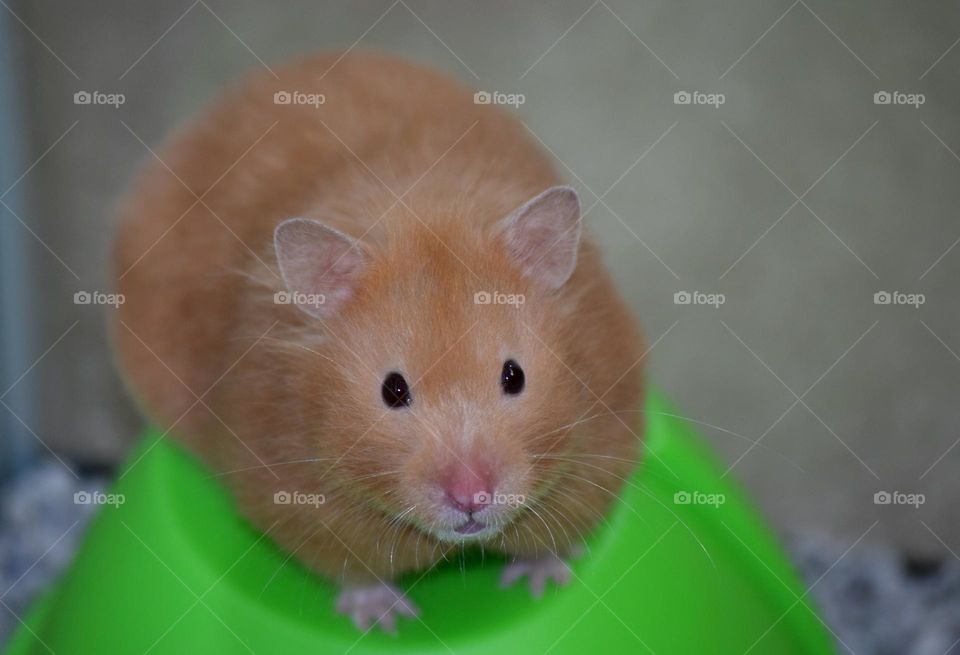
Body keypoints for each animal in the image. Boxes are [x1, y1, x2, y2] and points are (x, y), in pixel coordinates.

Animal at [112, 52, 644, 632]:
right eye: (393, 391)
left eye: (515, 376)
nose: (472, 498)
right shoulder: (299, 500)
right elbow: (354, 569)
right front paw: (384, 619)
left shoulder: (604, 444)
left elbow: (554, 535)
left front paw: (540, 583)